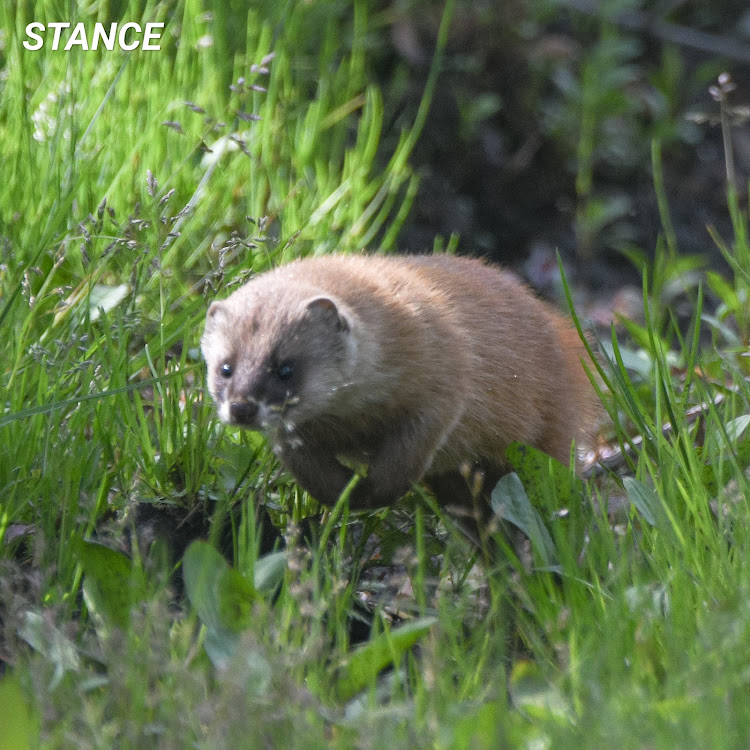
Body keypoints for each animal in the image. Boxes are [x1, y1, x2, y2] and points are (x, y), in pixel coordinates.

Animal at [200, 256, 600, 516]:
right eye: (225, 367)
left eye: (285, 368)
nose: (242, 407)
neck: (352, 418)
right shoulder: (293, 438)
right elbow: (314, 476)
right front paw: (347, 494)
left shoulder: (442, 388)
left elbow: (406, 458)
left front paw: (373, 492)